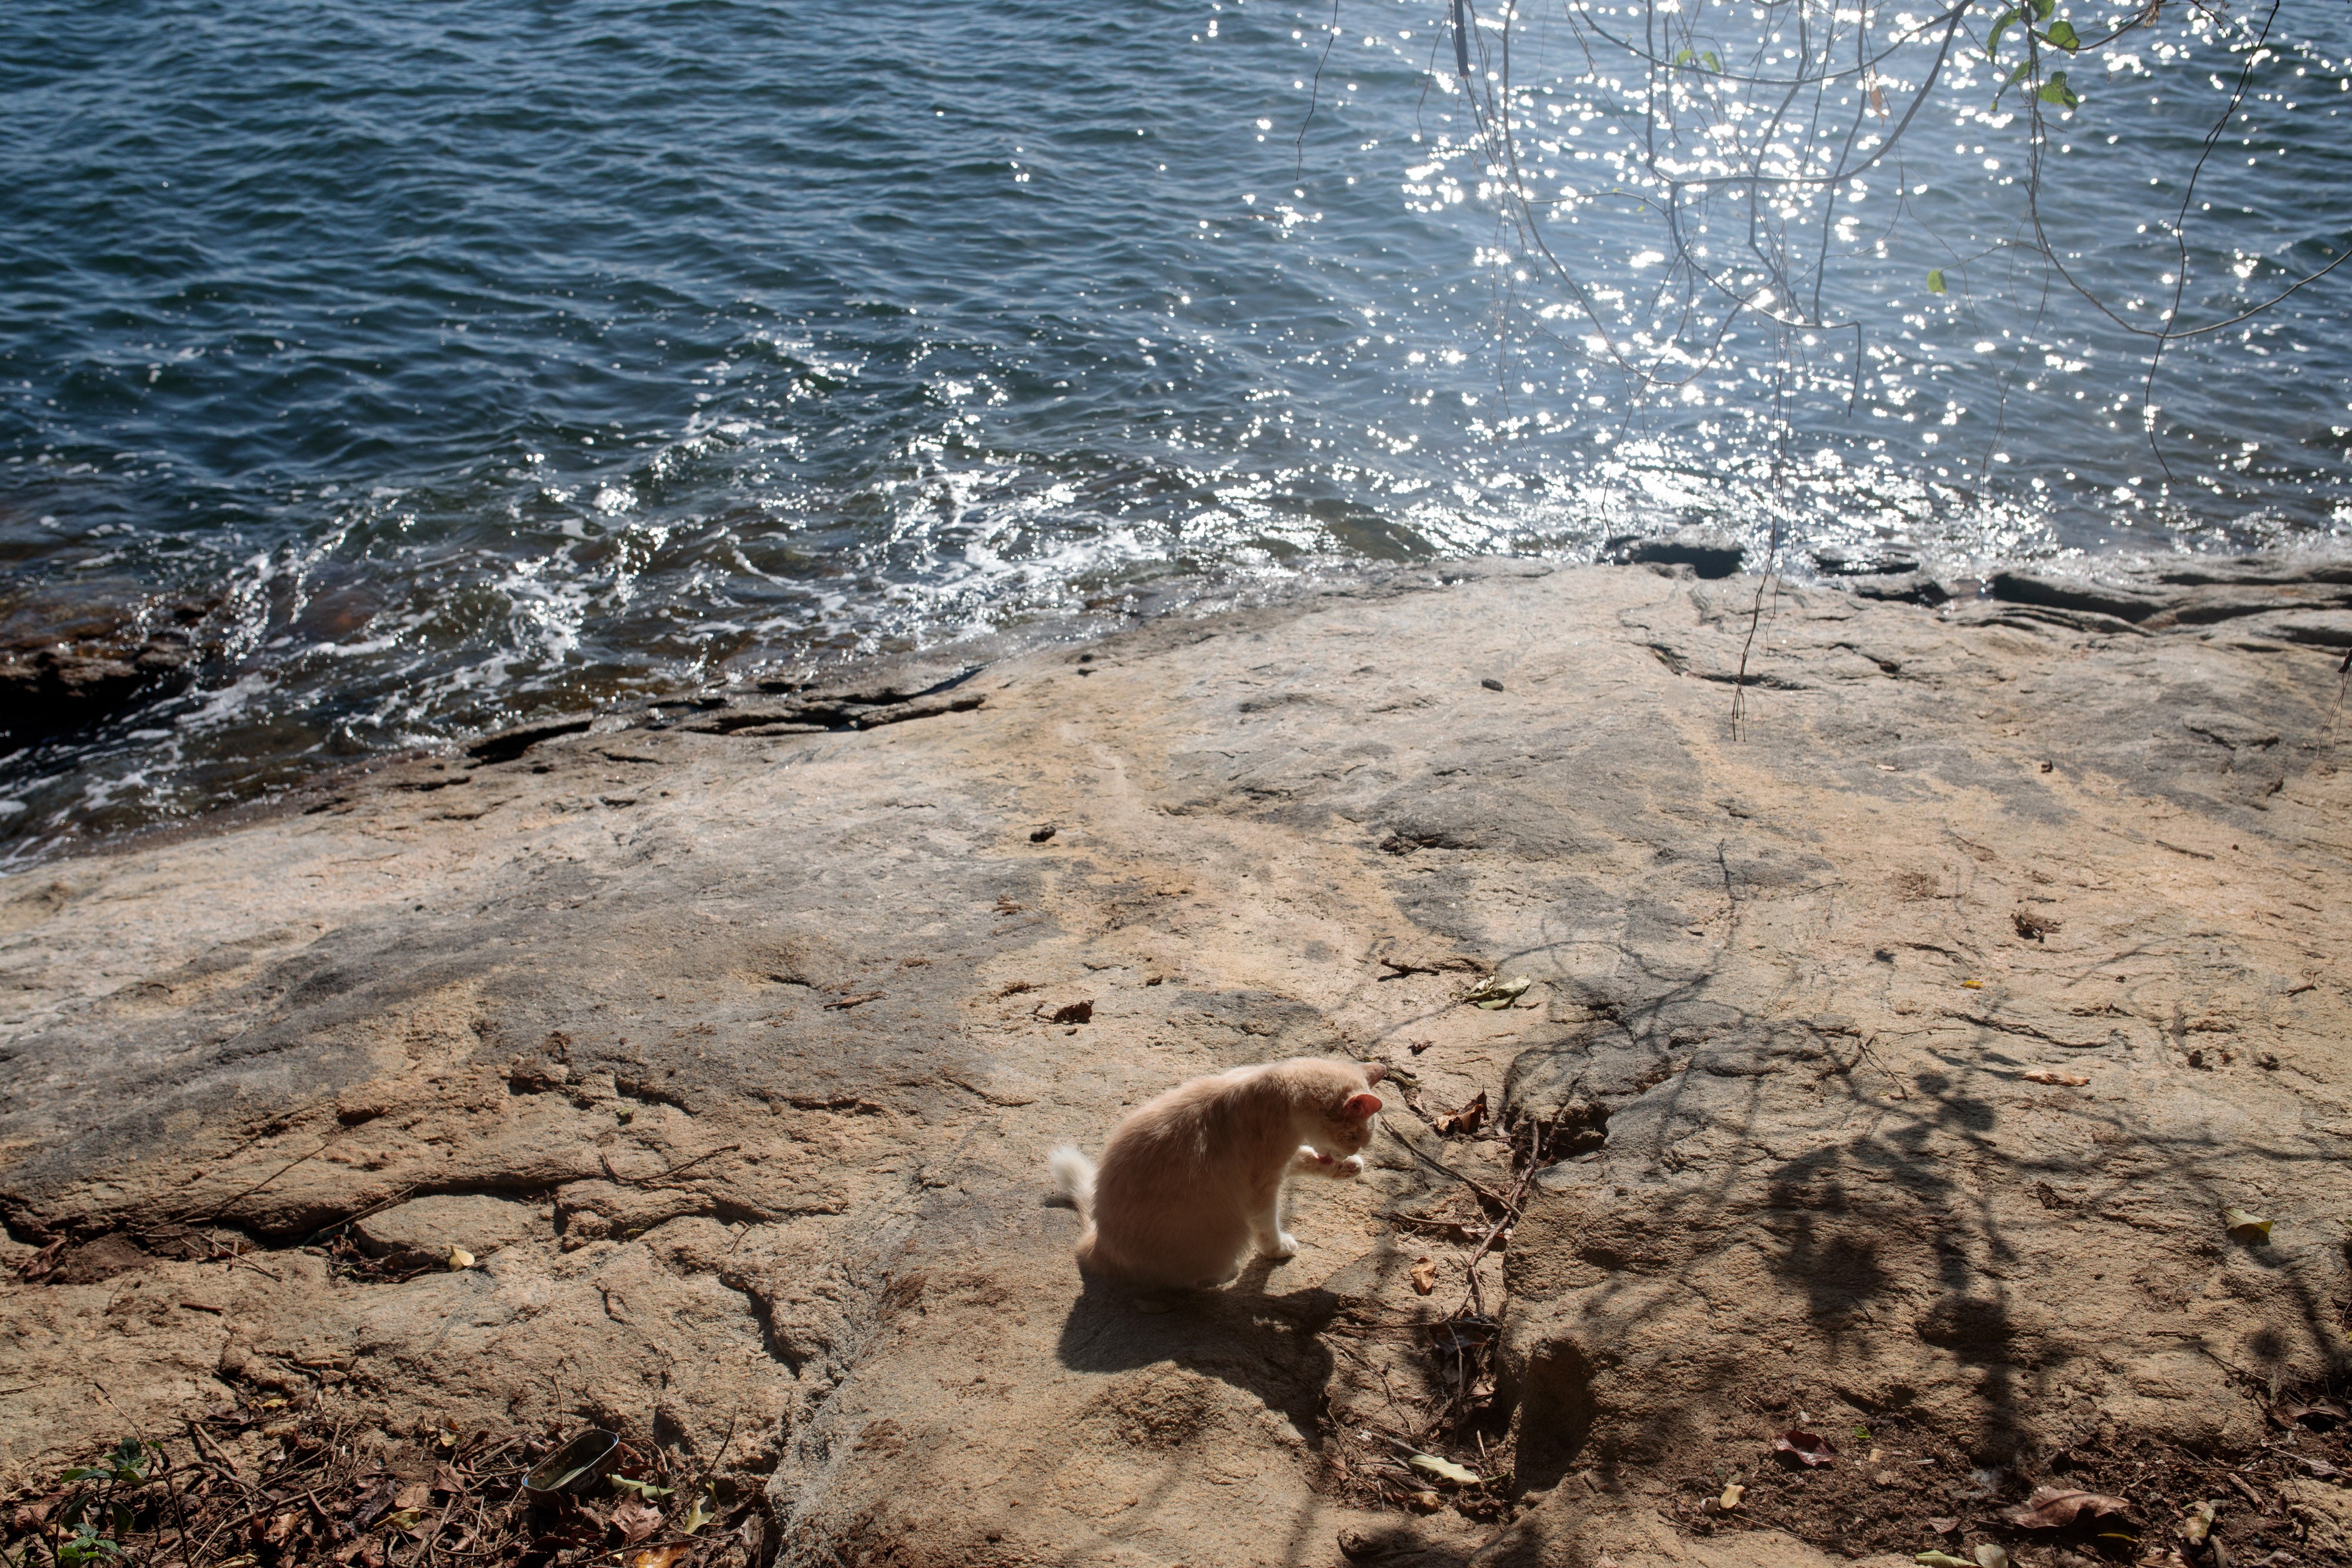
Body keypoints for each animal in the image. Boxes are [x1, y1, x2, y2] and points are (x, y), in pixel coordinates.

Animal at [1044, 1053, 1374, 1288]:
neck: (1280, 1086)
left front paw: (1348, 1167)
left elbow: (1305, 1158)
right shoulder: (1261, 1187)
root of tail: (1096, 1245)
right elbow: (1268, 1227)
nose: (1354, 1152)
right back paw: (1223, 1274)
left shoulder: (1282, 1162)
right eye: (1355, 1137)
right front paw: (1279, 1248)